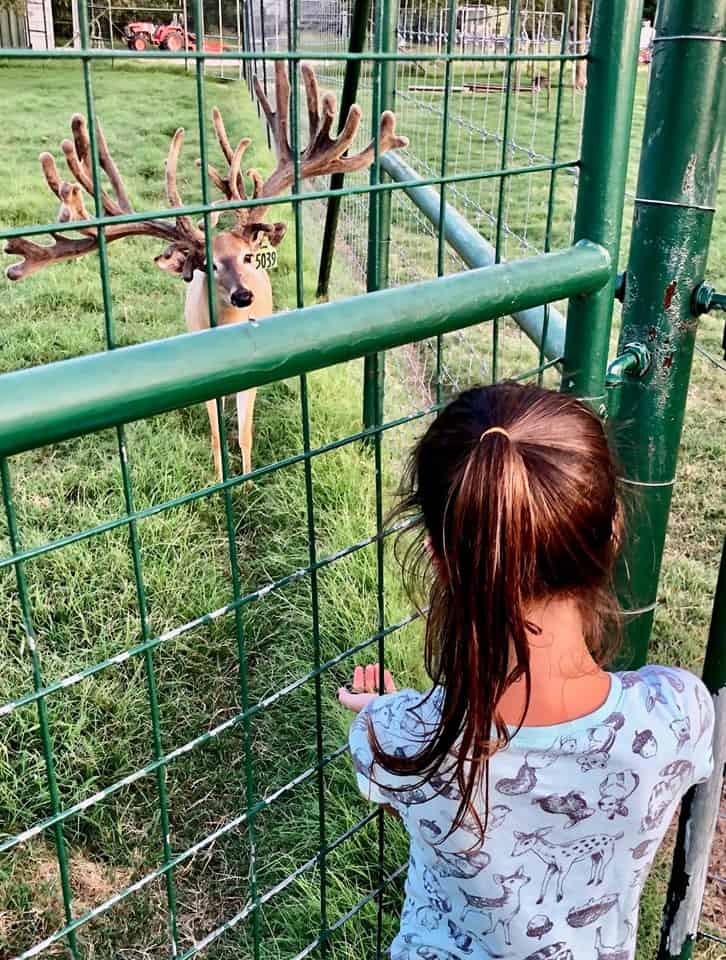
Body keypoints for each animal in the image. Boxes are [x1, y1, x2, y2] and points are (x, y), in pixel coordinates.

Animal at [4, 62, 407, 481]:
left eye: (248, 257)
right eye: (208, 264)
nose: (243, 294)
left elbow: (245, 431)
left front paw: (246, 481)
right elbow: (215, 432)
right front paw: (220, 477)